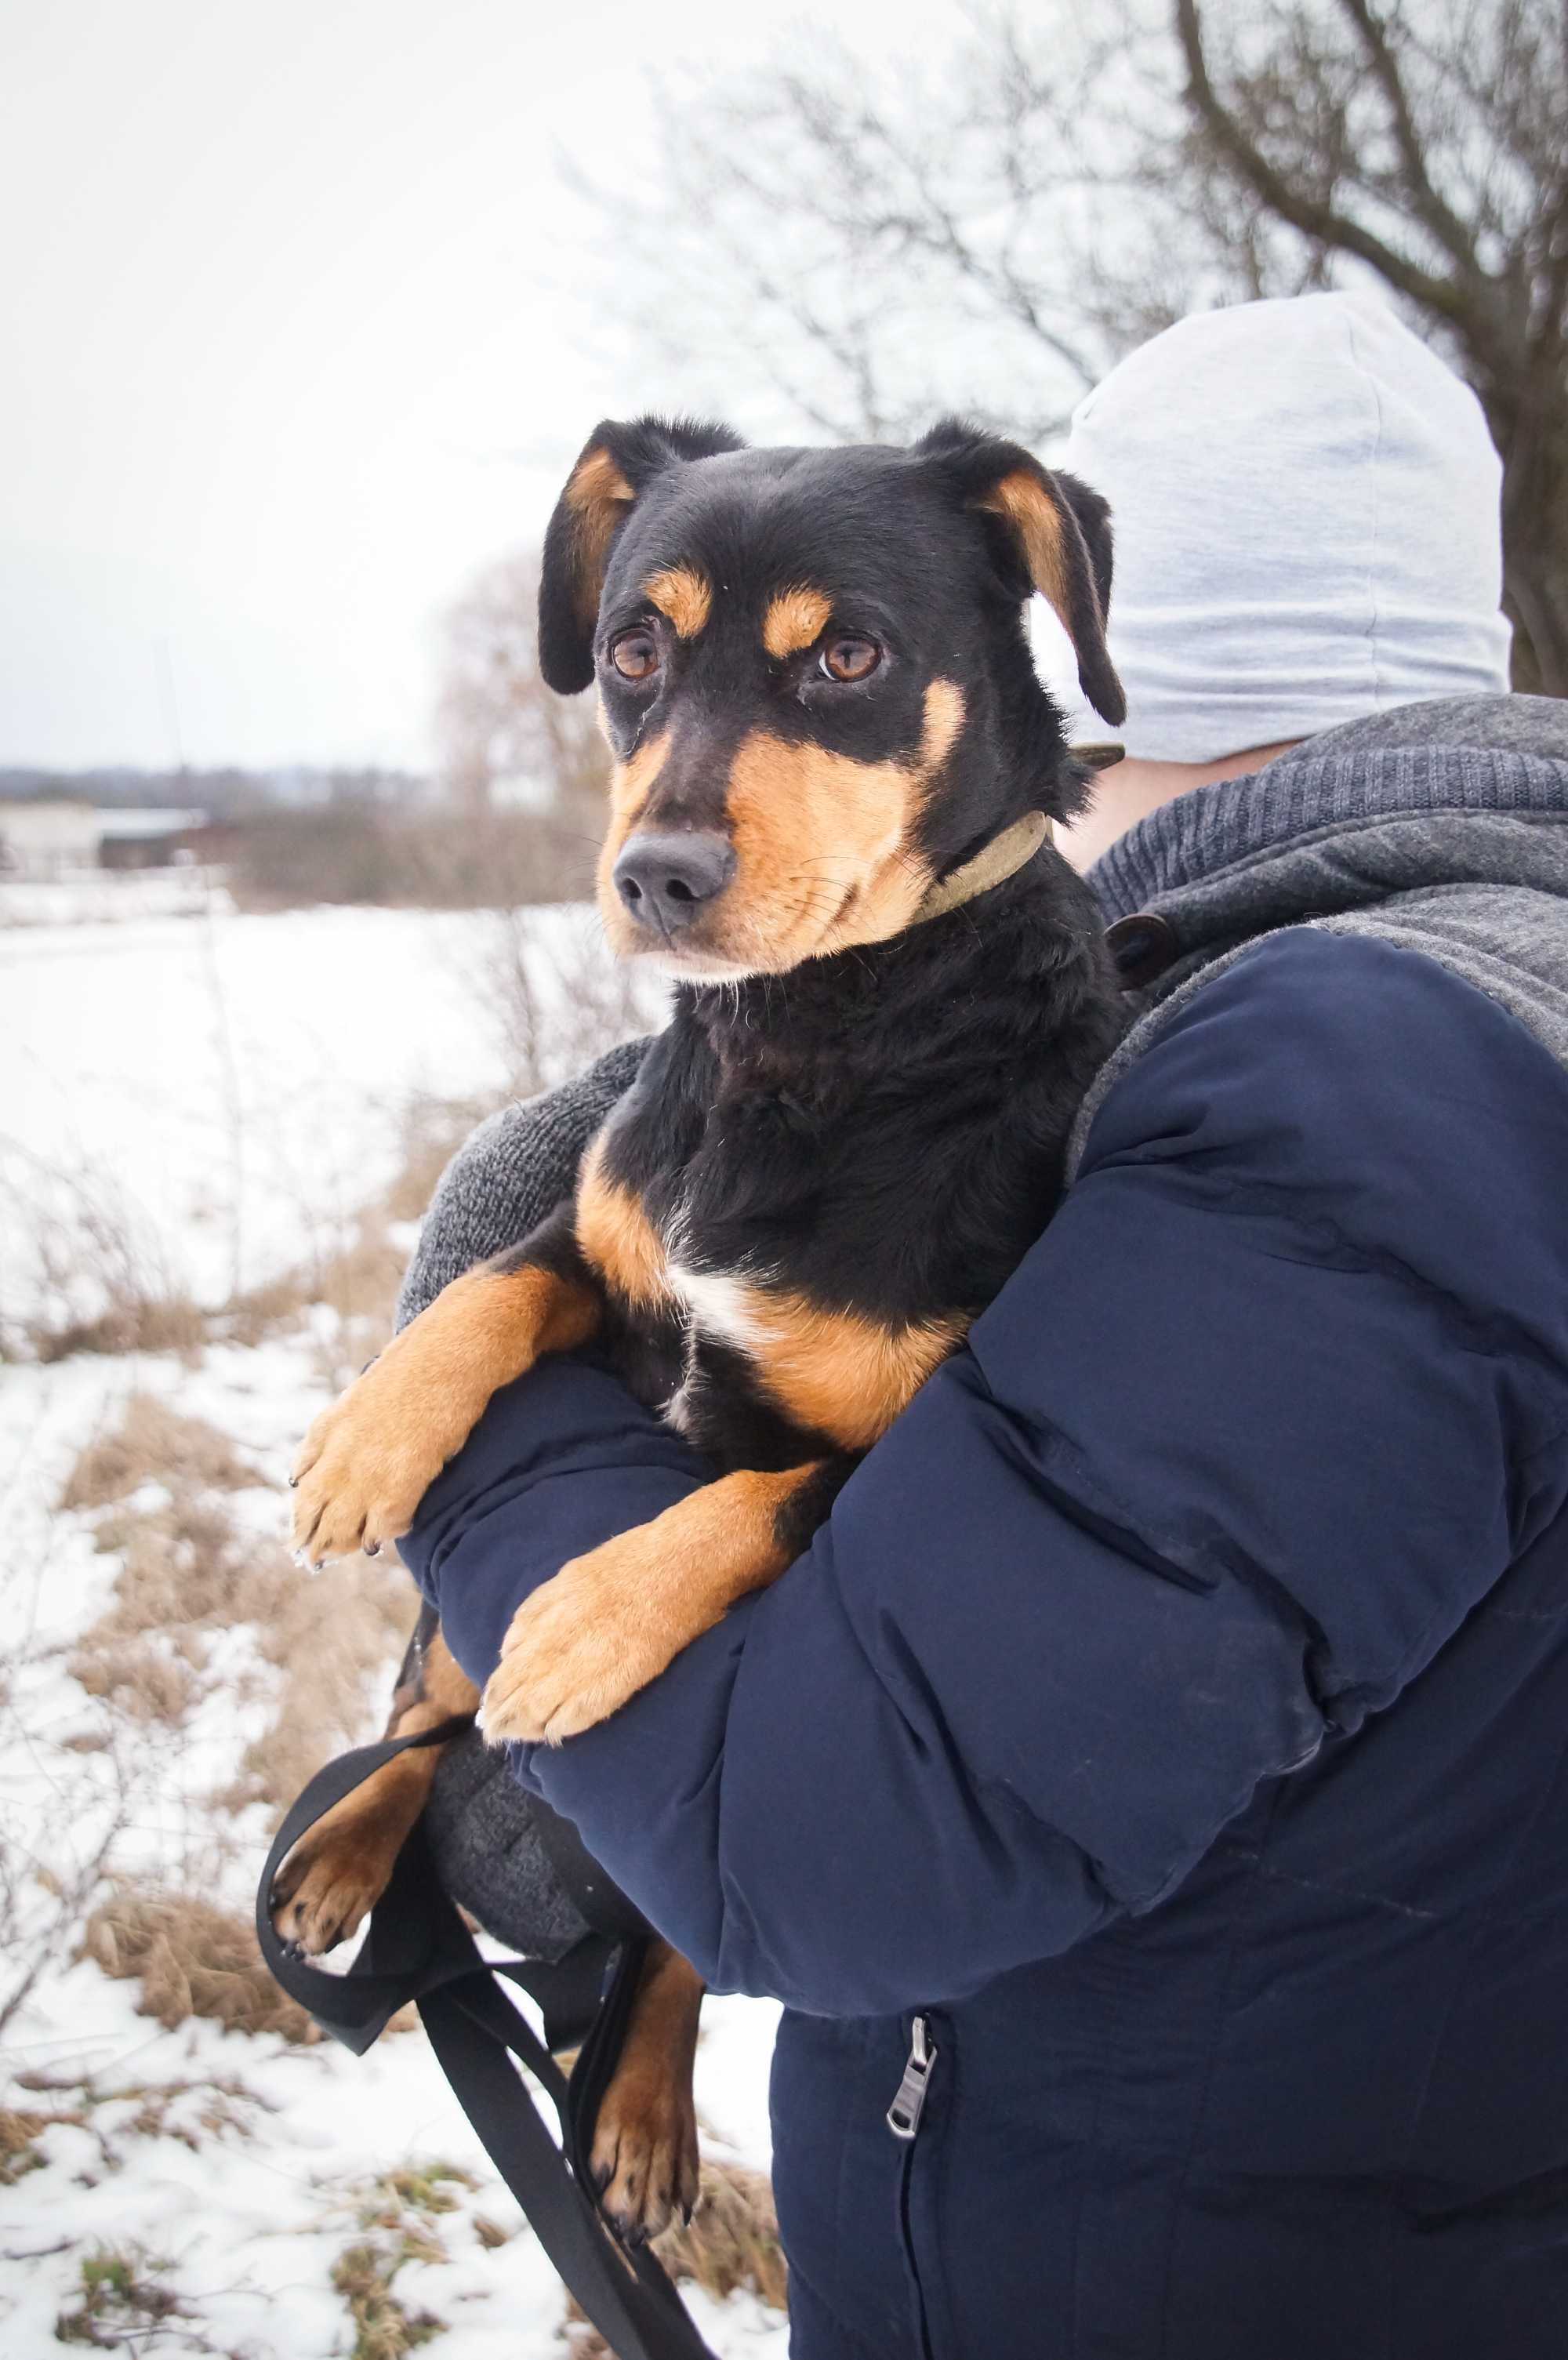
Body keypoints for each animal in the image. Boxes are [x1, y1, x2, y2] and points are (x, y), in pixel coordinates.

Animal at [269, 415, 1128, 2237]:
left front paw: (591, 1616)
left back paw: (647, 2101)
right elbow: (488, 1290)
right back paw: (346, 1847)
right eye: (629, 652)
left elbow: (754, 1500)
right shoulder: (603, 1252)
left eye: (851, 657)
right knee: (423, 1713)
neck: (807, 1041)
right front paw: (367, 1437)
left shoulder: (898, 1433)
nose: (655, 876)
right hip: (436, 1655)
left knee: (657, 1928)